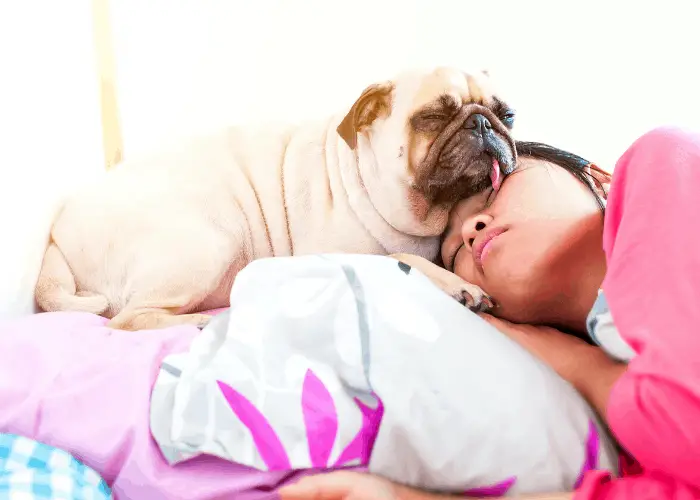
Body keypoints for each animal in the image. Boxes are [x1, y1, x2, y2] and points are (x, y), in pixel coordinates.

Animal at [35, 67, 516, 332]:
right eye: (432, 118)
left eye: (508, 115)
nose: (482, 123)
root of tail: (58, 234)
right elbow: (404, 258)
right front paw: (457, 285)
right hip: (209, 242)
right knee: (125, 319)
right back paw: (199, 322)